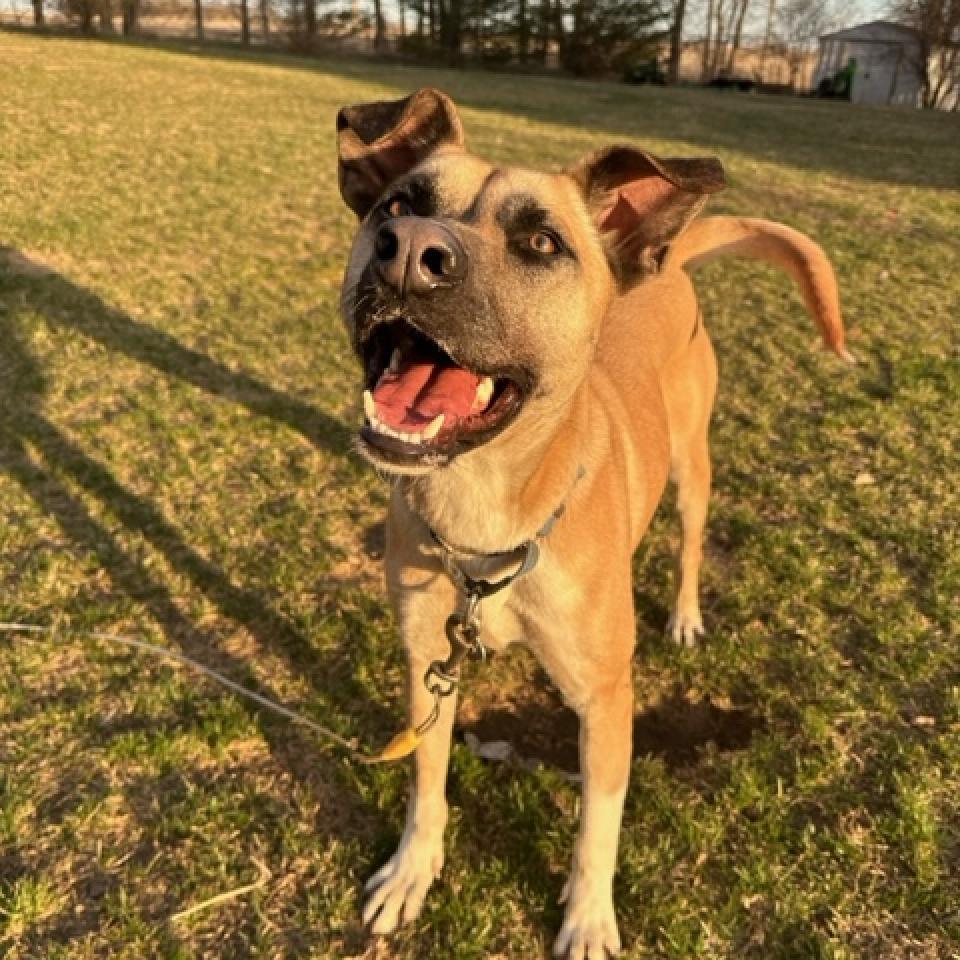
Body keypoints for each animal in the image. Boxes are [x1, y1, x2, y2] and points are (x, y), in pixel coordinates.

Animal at [336, 90, 848, 960]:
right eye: (396, 206)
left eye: (542, 242)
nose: (408, 252)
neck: (490, 519)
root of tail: (664, 264)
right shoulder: (427, 664)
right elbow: (427, 780)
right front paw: (412, 870)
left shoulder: (607, 704)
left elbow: (595, 828)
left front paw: (587, 918)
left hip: (692, 468)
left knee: (690, 543)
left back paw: (685, 614)